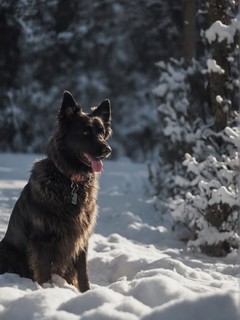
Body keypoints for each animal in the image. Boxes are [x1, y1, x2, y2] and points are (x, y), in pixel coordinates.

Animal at [0, 91, 111, 292]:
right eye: (85, 132)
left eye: (101, 132)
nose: (107, 150)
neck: (70, 181)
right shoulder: (42, 240)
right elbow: (43, 272)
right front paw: (47, 291)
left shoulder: (81, 238)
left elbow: (83, 273)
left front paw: (86, 293)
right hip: (9, 252)